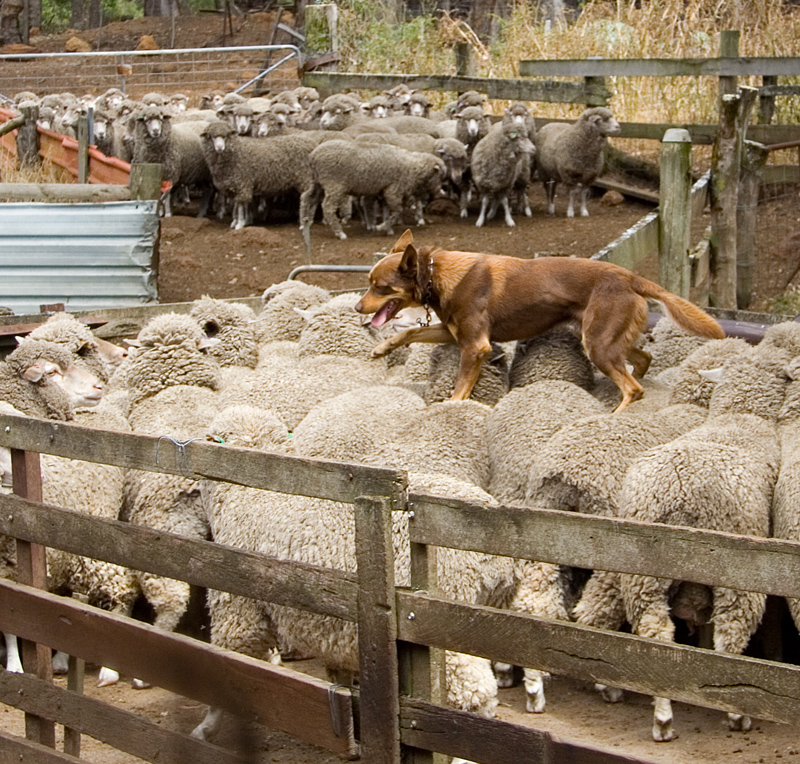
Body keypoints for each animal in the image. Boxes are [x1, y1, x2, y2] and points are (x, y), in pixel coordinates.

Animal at [354, 230, 724, 412]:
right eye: (369, 282)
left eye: (379, 286)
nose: (357, 307)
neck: (435, 274)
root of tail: (631, 277)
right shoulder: (452, 332)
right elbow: (407, 336)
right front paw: (382, 349)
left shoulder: (474, 346)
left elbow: (460, 390)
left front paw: (451, 410)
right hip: (606, 339)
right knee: (643, 360)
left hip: (599, 344)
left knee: (633, 388)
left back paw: (611, 417)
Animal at [620, 348, 788, 740]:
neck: (740, 416)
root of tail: (679, 493)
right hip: (737, 570)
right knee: (731, 634)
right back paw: (736, 713)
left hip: (644, 574)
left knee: (656, 635)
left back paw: (663, 717)